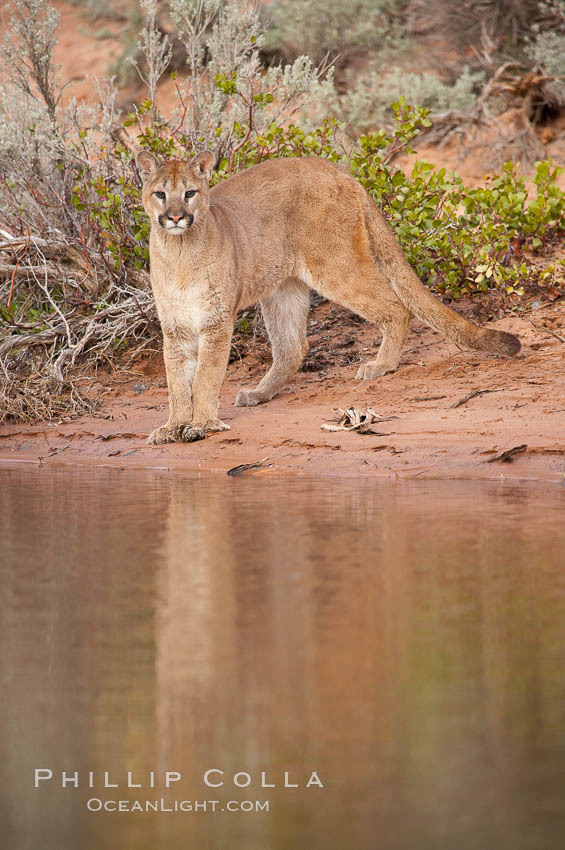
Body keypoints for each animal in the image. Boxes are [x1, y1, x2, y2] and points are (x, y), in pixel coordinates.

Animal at [138, 152, 520, 444]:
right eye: (161, 194)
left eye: (189, 193)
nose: (175, 216)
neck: (180, 252)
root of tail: (341, 171)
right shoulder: (175, 327)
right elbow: (176, 381)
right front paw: (173, 426)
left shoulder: (216, 321)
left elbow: (205, 376)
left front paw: (201, 424)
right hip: (283, 288)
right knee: (293, 346)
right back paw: (260, 393)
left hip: (335, 266)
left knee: (395, 306)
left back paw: (381, 365)